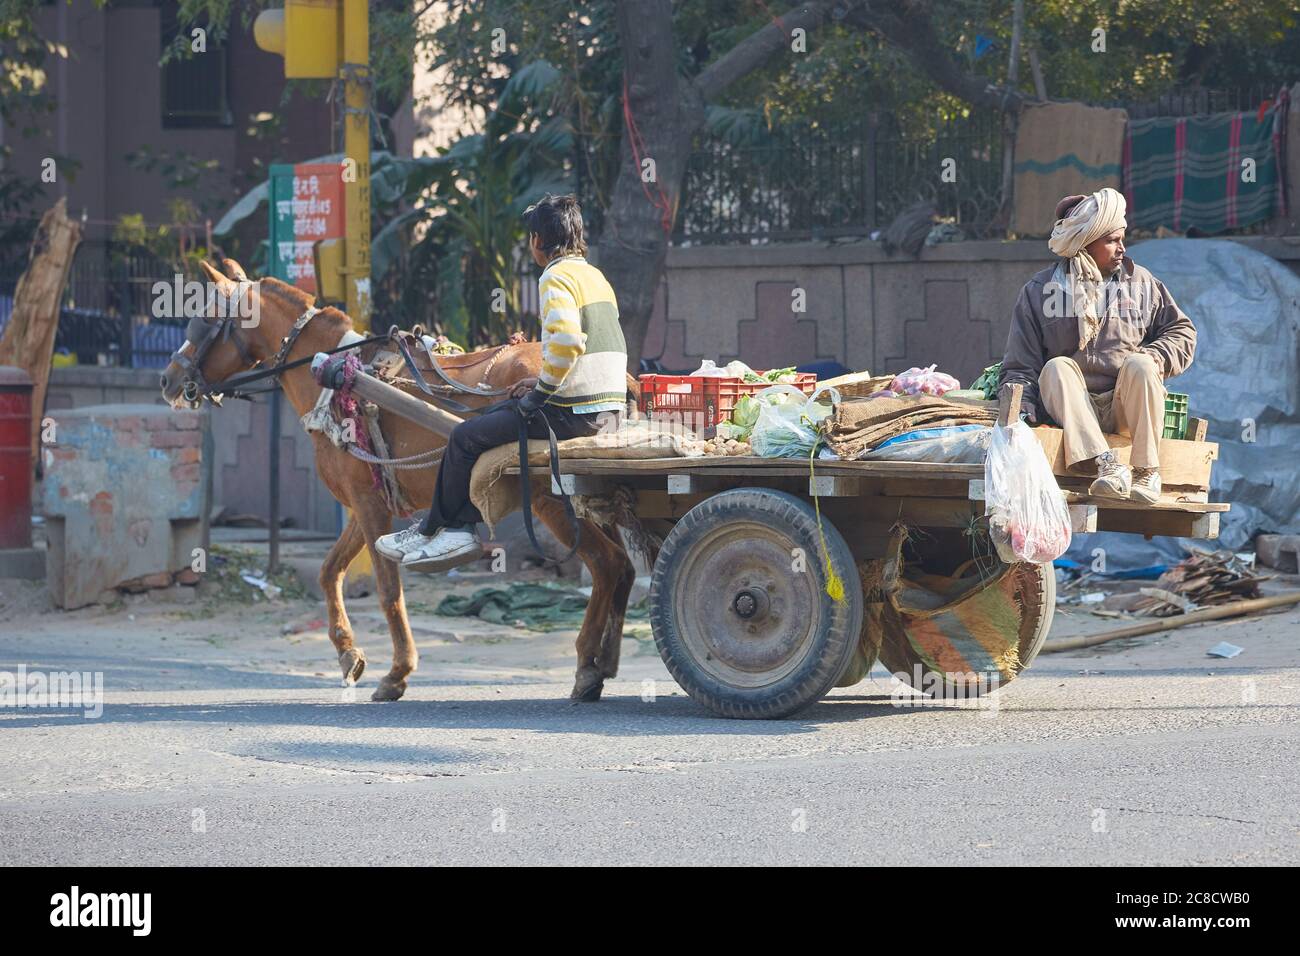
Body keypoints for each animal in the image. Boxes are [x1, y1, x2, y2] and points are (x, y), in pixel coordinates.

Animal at [159, 260, 637, 702]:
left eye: (204, 319)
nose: (168, 379)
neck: (338, 378)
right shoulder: (365, 501)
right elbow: (329, 572)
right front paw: (348, 654)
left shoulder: (368, 504)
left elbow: (389, 589)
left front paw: (397, 673)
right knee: (625, 568)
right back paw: (607, 658)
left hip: (547, 495)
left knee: (606, 563)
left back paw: (586, 664)